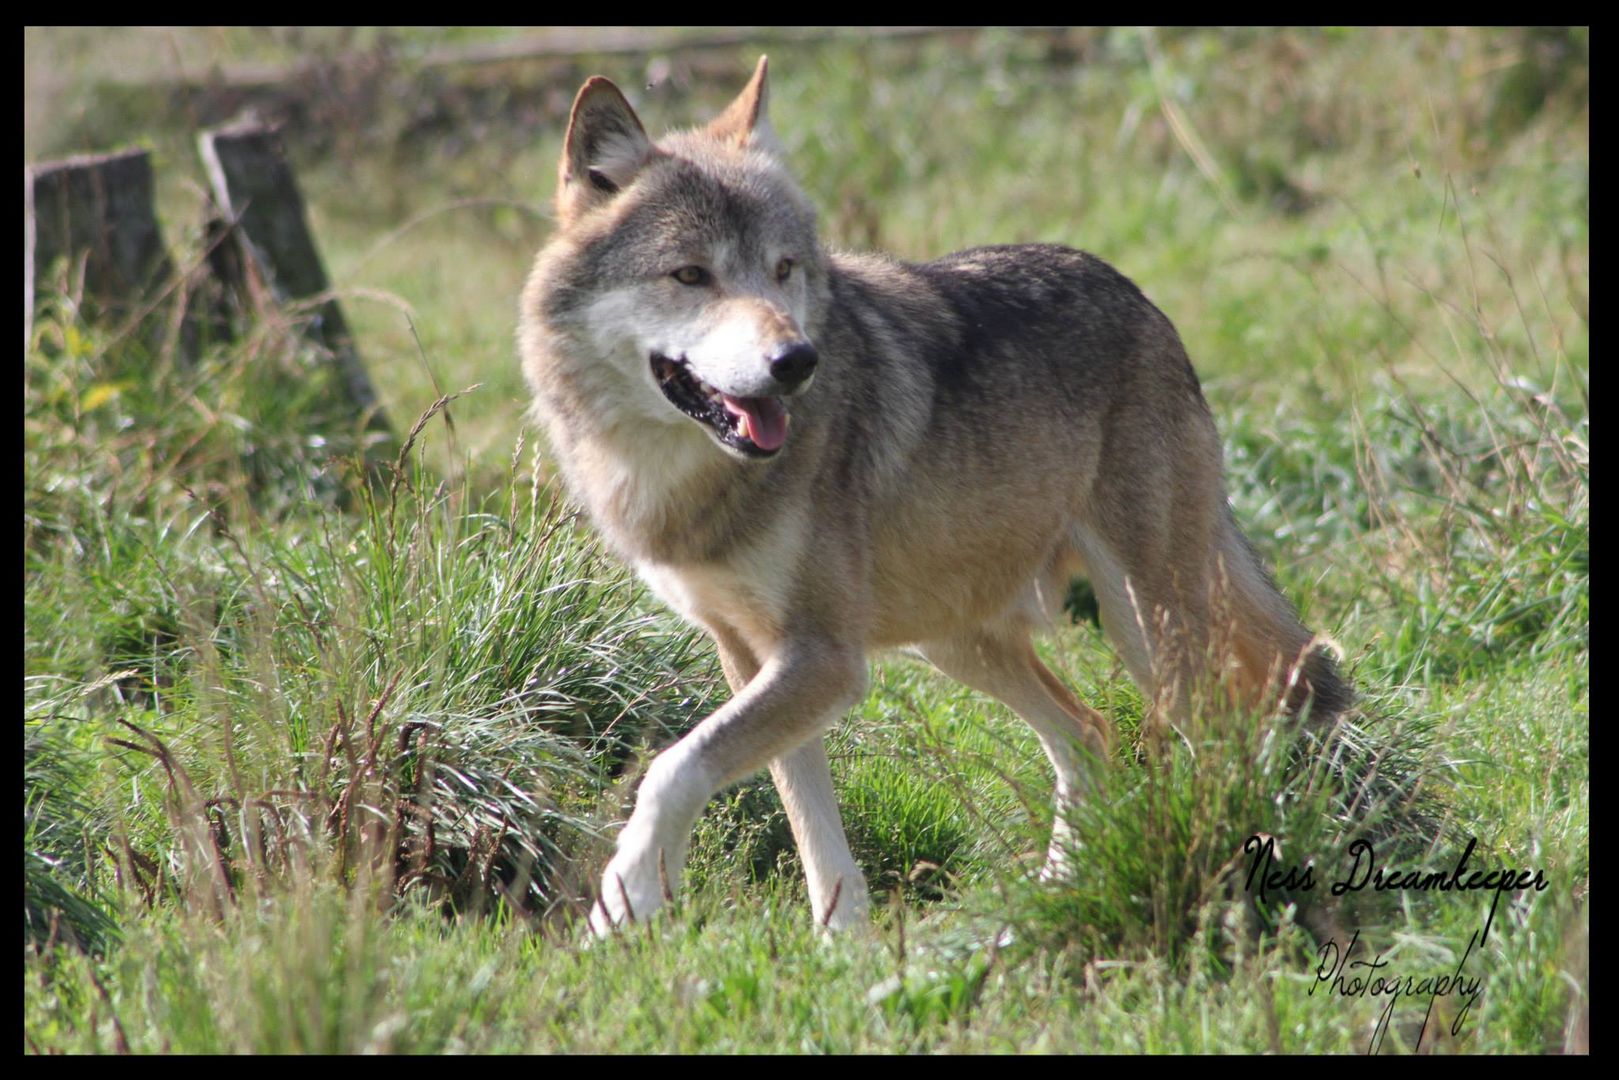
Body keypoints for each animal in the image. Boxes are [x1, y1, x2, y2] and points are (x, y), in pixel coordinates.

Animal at [521, 59, 1353, 932]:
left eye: (782, 270)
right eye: (690, 275)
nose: (796, 360)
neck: (683, 481)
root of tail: (1141, 298)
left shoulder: (824, 659)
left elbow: (672, 768)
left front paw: (626, 896)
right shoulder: (754, 656)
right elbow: (809, 824)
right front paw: (842, 943)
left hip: (1145, 627)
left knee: (1229, 738)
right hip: (956, 641)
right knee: (1089, 735)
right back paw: (1044, 903)